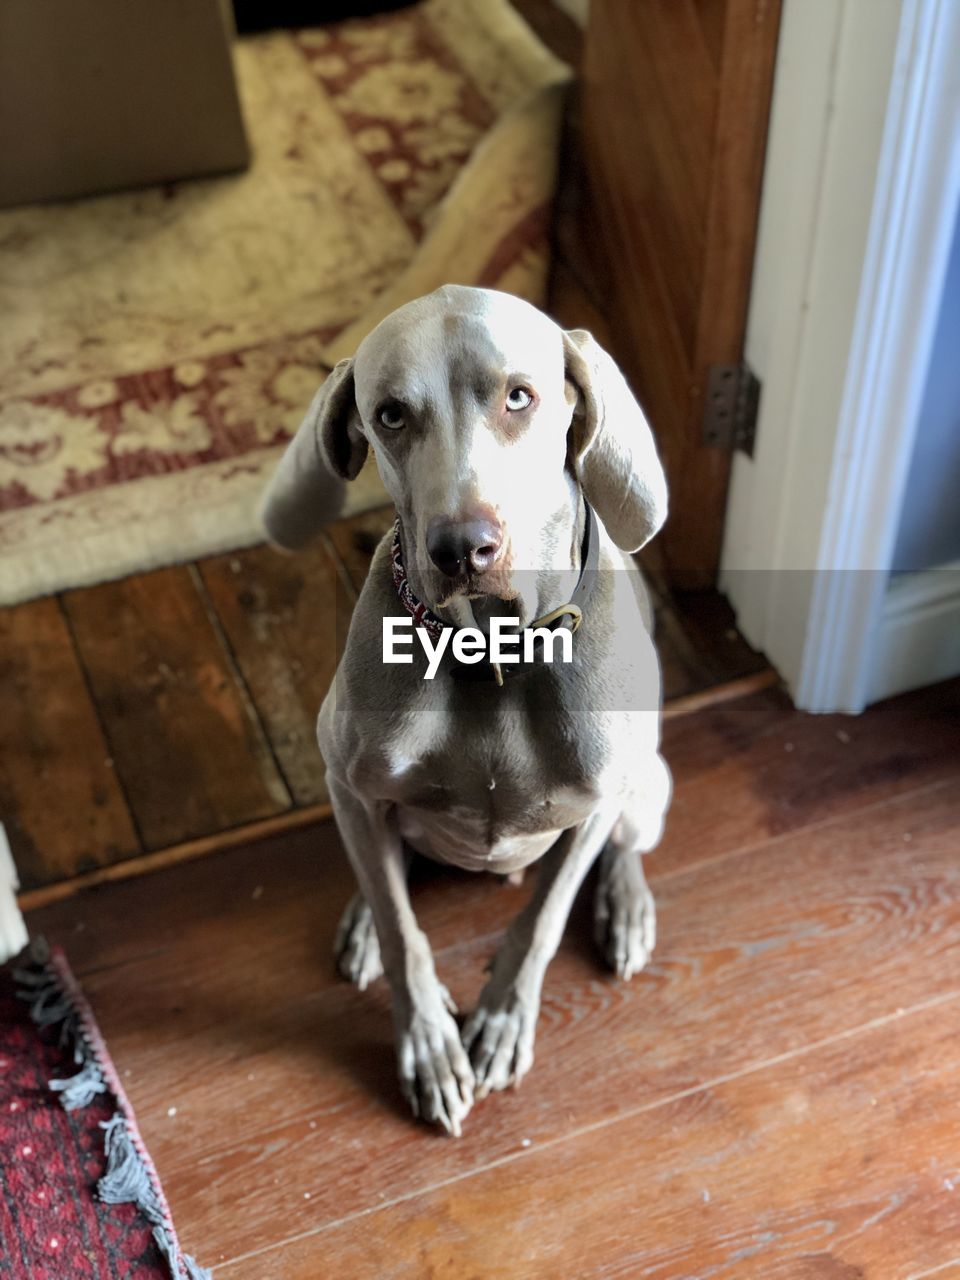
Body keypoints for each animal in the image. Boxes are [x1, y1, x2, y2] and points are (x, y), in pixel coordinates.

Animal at [259, 285, 670, 1136]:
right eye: (389, 415)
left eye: (519, 396)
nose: (463, 547)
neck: (495, 657)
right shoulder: (348, 779)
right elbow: (402, 929)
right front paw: (428, 1045)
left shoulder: (593, 802)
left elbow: (543, 920)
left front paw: (503, 1023)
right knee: (383, 864)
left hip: (648, 776)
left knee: (625, 843)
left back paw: (625, 907)